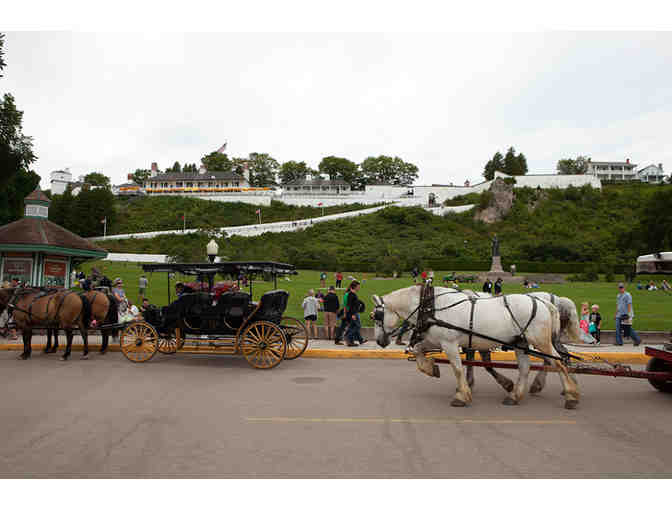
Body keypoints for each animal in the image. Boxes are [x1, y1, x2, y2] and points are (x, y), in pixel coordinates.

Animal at [370, 286, 580, 410]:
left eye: (377, 316)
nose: (379, 341)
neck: (432, 306)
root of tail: (545, 302)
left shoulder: (449, 343)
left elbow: (457, 368)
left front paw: (462, 396)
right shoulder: (437, 340)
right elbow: (418, 350)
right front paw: (431, 368)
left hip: (539, 340)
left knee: (558, 362)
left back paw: (570, 395)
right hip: (520, 343)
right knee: (526, 368)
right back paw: (514, 395)